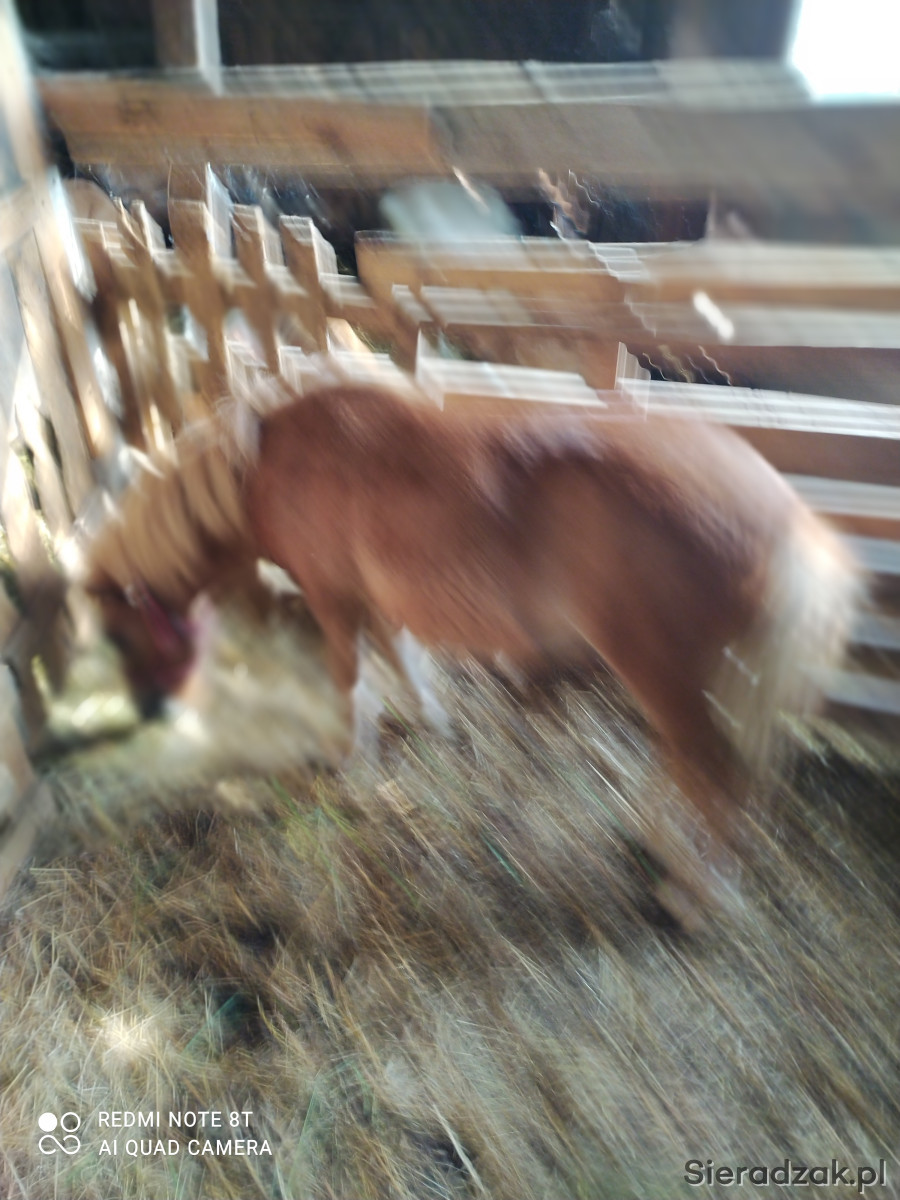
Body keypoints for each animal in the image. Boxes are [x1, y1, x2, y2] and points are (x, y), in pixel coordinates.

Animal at [82, 379, 862, 924]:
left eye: (118, 634)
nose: (147, 711)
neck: (268, 466)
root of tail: (793, 522)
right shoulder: (379, 604)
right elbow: (403, 666)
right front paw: (430, 725)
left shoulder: (335, 600)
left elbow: (353, 681)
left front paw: (353, 767)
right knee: (704, 772)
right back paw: (667, 849)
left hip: (665, 676)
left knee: (715, 775)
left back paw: (695, 897)